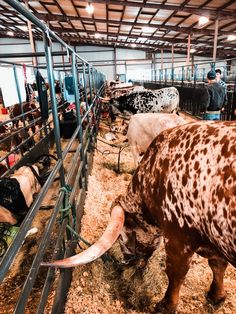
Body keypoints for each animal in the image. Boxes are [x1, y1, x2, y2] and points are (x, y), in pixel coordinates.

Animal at [42, 121, 236, 314]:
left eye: (122, 236)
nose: (127, 262)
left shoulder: (178, 238)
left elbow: (176, 274)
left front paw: (165, 305)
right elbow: (217, 265)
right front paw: (216, 296)